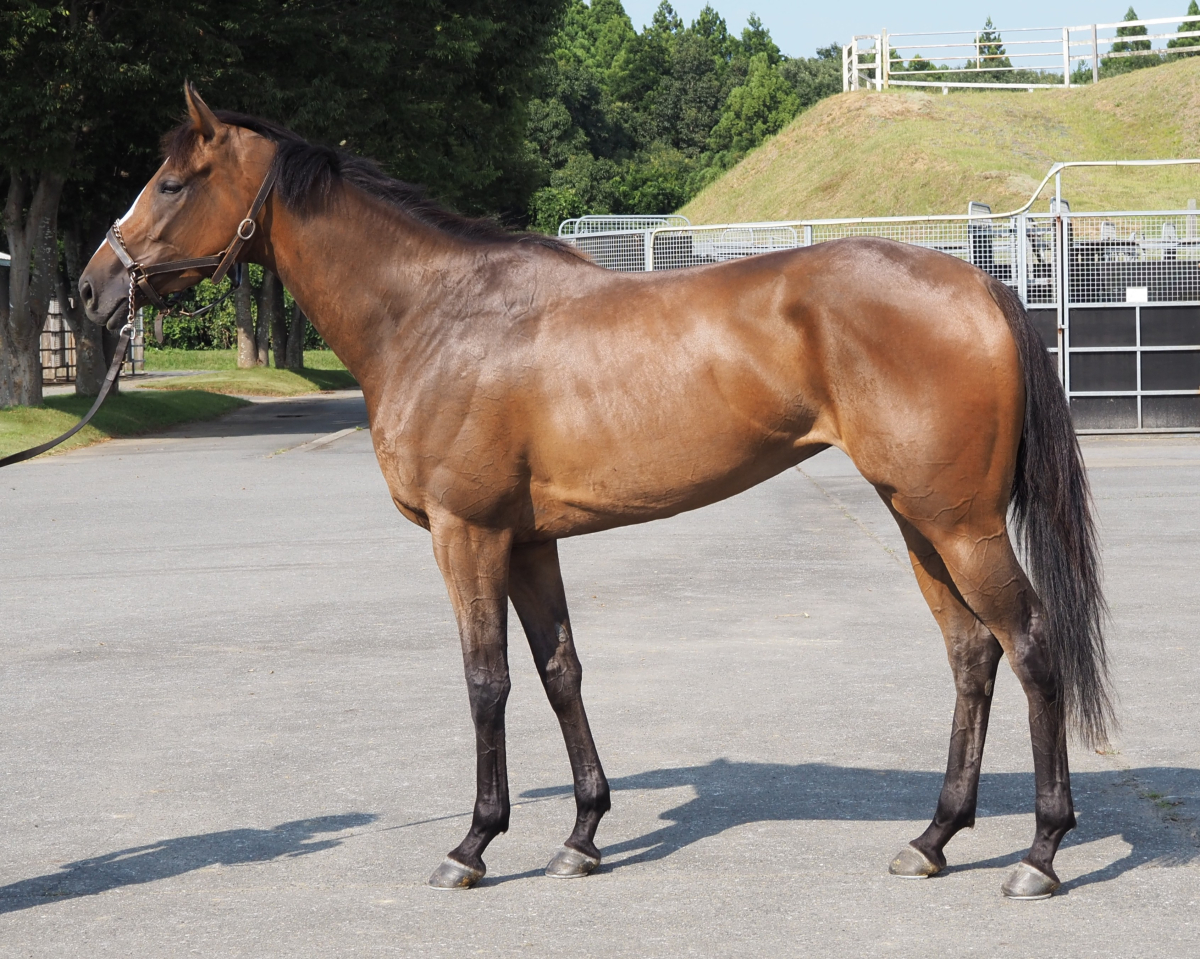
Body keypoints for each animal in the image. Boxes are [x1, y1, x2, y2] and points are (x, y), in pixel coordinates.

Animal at [79, 86, 1112, 899]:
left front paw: (472, 845)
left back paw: (1041, 851)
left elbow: (486, 680)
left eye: (171, 183)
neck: (439, 314)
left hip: (960, 524)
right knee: (972, 654)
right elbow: (559, 670)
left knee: (1032, 645)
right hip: (917, 520)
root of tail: (978, 285)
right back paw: (933, 838)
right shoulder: (528, 540)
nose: (93, 290)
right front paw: (580, 835)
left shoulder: (466, 534)